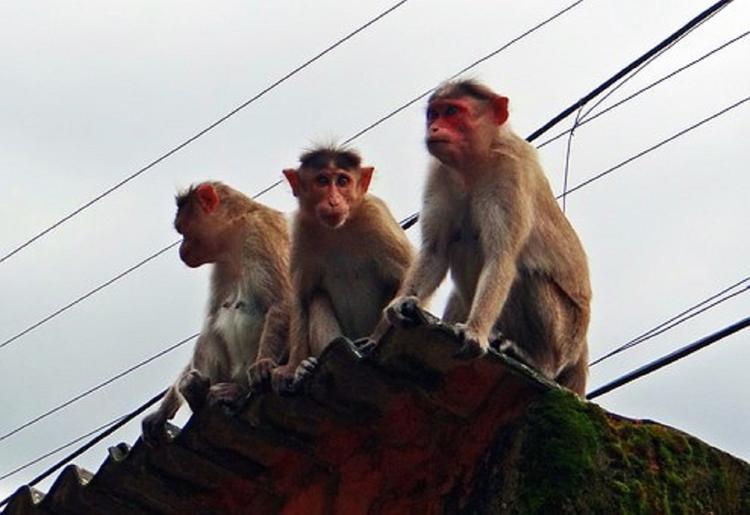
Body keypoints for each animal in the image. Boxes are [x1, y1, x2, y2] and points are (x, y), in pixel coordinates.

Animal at [142, 183, 292, 446]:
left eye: (183, 230)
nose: (181, 249)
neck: (234, 234)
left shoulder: (260, 233)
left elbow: (284, 300)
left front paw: (264, 364)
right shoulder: (220, 264)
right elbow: (212, 318)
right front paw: (161, 411)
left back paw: (235, 394)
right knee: (209, 330)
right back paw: (199, 395)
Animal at [272, 147, 414, 394]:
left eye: (342, 181)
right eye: (322, 180)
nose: (333, 201)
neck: (338, 229)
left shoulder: (376, 214)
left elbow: (408, 271)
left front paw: (377, 338)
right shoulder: (301, 230)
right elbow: (301, 298)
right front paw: (294, 368)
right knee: (317, 298)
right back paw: (310, 365)